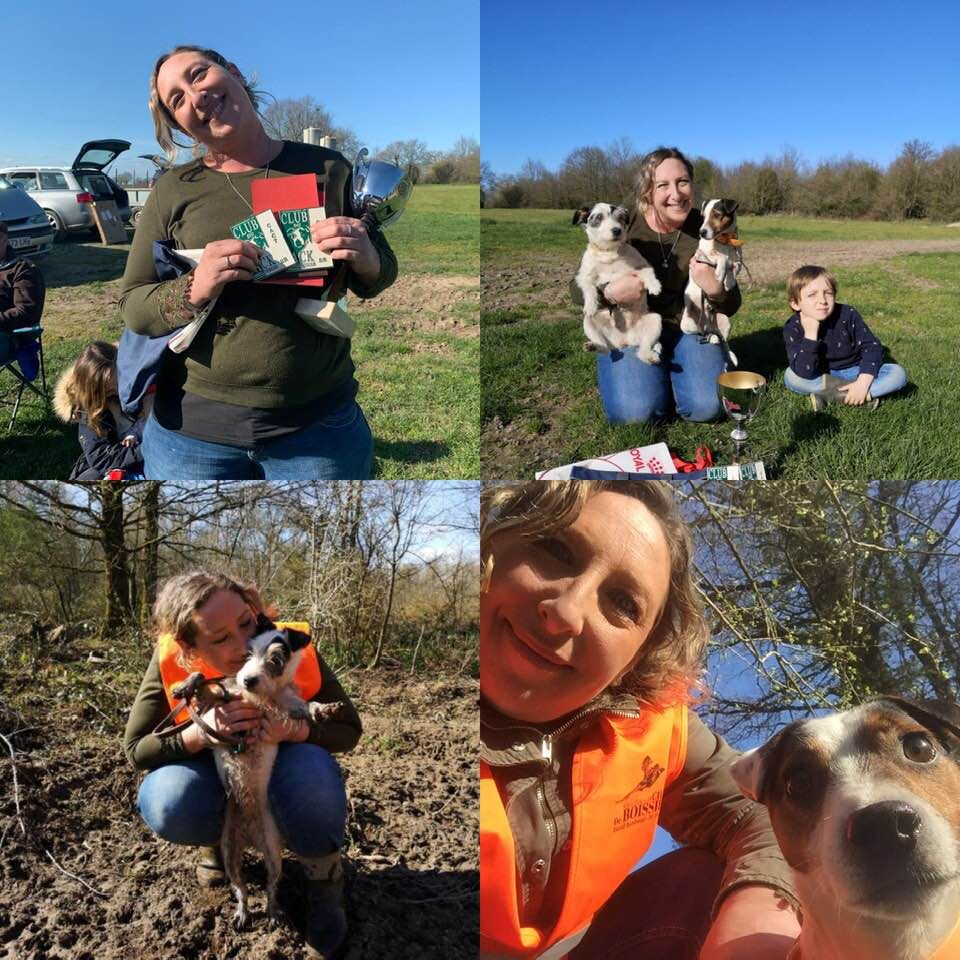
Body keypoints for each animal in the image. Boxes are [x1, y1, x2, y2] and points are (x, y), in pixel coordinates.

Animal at [572, 202, 664, 364]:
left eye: (620, 218)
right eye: (598, 217)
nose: (617, 230)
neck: (609, 252)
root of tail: (624, 341)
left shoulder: (640, 266)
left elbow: (648, 272)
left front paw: (654, 285)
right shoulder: (584, 275)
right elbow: (589, 288)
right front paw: (590, 305)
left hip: (655, 321)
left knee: (642, 350)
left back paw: (650, 356)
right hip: (589, 323)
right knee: (605, 348)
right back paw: (593, 346)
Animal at [676, 199, 744, 368]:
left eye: (717, 214)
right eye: (703, 216)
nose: (701, 232)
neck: (725, 241)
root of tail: (708, 324)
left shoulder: (739, 258)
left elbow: (736, 265)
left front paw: (729, 281)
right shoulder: (701, 257)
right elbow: (722, 258)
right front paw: (720, 272)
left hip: (725, 321)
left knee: (723, 340)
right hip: (688, 324)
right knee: (702, 333)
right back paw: (710, 337)